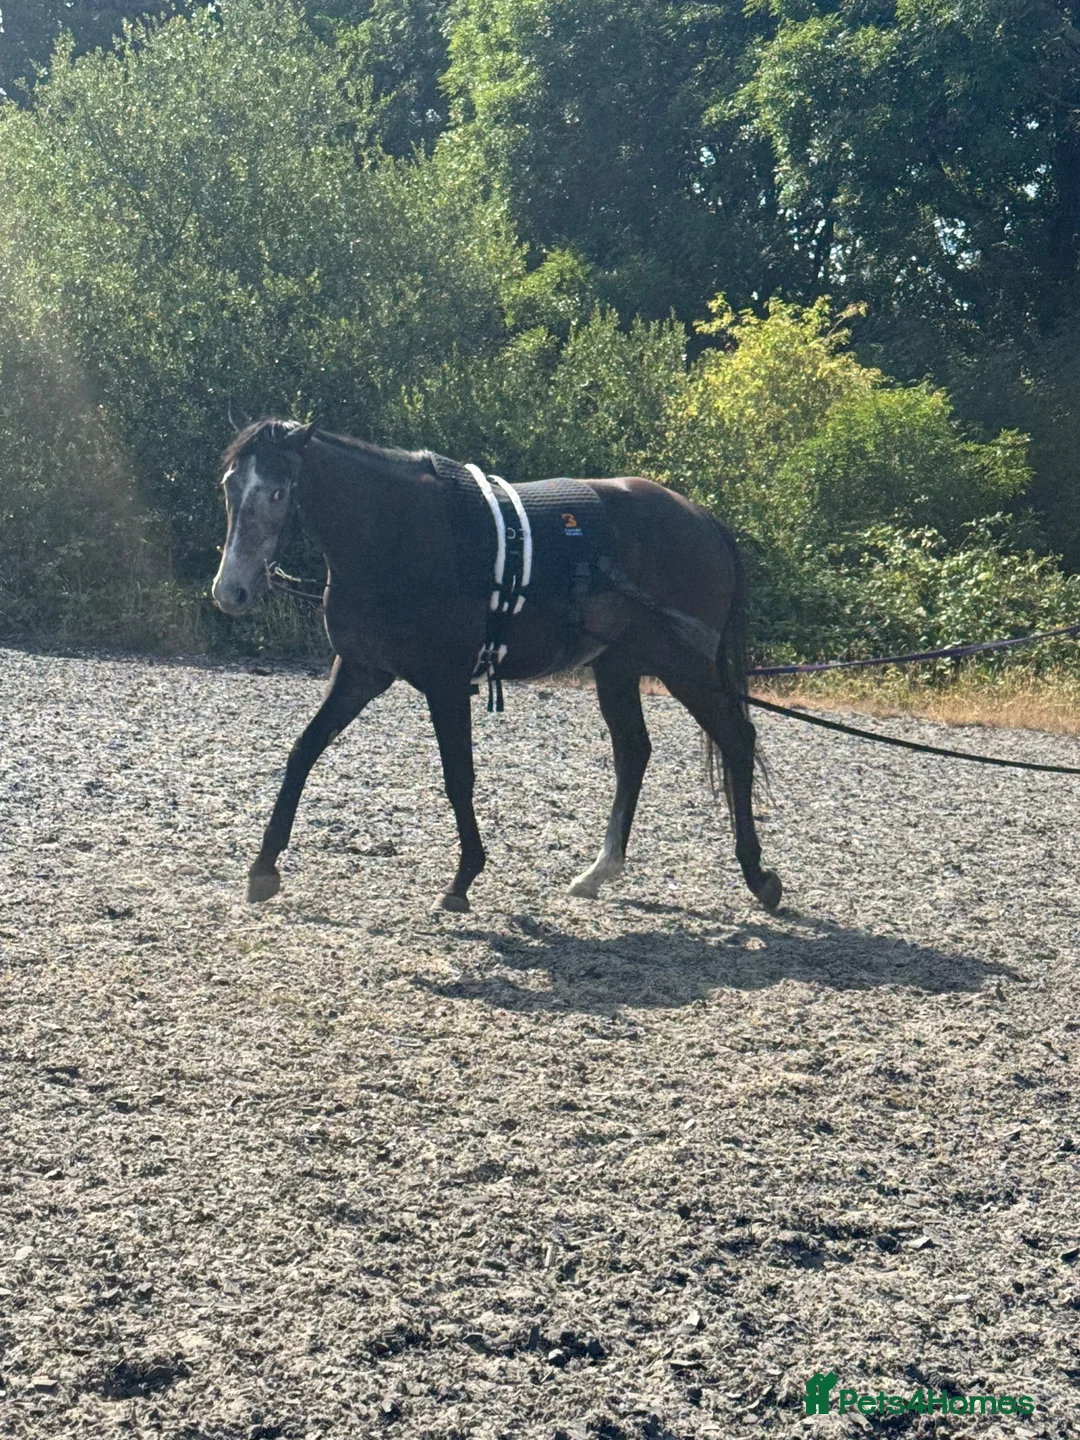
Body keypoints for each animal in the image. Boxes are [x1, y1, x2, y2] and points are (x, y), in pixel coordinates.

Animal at [210, 418, 781, 914]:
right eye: (230, 486)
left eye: (278, 493)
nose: (229, 591)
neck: (398, 536)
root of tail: (701, 518)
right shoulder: (359, 672)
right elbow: (303, 752)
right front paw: (263, 868)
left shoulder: (444, 684)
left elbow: (458, 776)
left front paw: (463, 878)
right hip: (618, 667)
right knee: (634, 752)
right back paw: (600, 871)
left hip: (685, 666)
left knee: (736, 739)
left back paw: (758, 875)